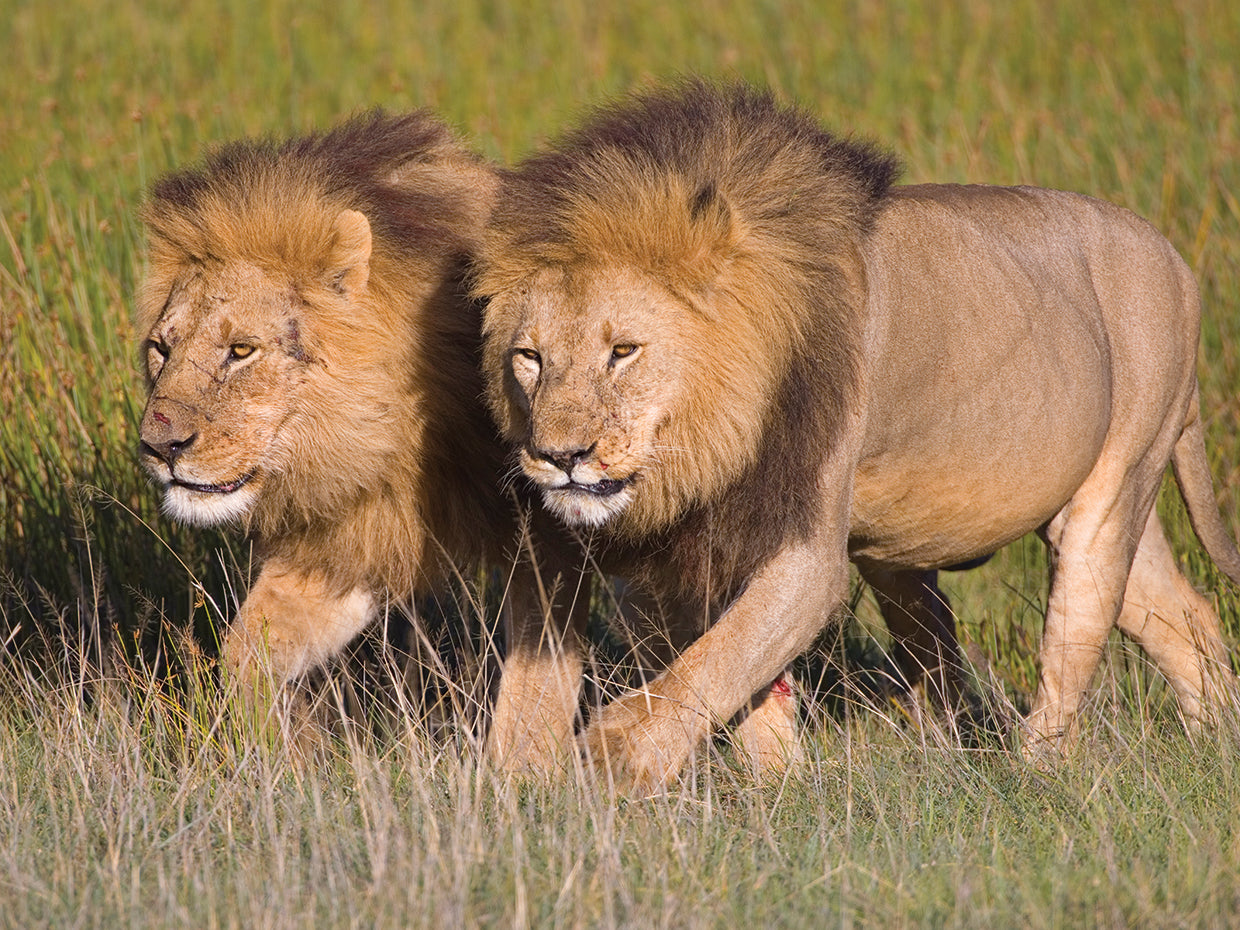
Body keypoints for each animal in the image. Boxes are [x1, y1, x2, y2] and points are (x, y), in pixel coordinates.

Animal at [136, 111, 588, 762]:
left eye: (241, 350)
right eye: (161, 348)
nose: (159, 447)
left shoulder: (552, 532)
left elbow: (537, 679)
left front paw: (519, 776)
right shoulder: (364, 535)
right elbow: (246, 650)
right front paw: (286, 759)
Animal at [475, 81, 1240, 791]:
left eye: (623, 351)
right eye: (530, 357)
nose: (560, 458)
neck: (711, 443)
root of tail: (1172, 256)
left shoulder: (808, 549)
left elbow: (716, 662)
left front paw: (613, 766)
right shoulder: (683, 550)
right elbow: (737, 676)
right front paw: (778, 789)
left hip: (1116, 483)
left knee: (1076, 628)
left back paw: (1032, 772)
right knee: (1184, 615)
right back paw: (1216, 741)